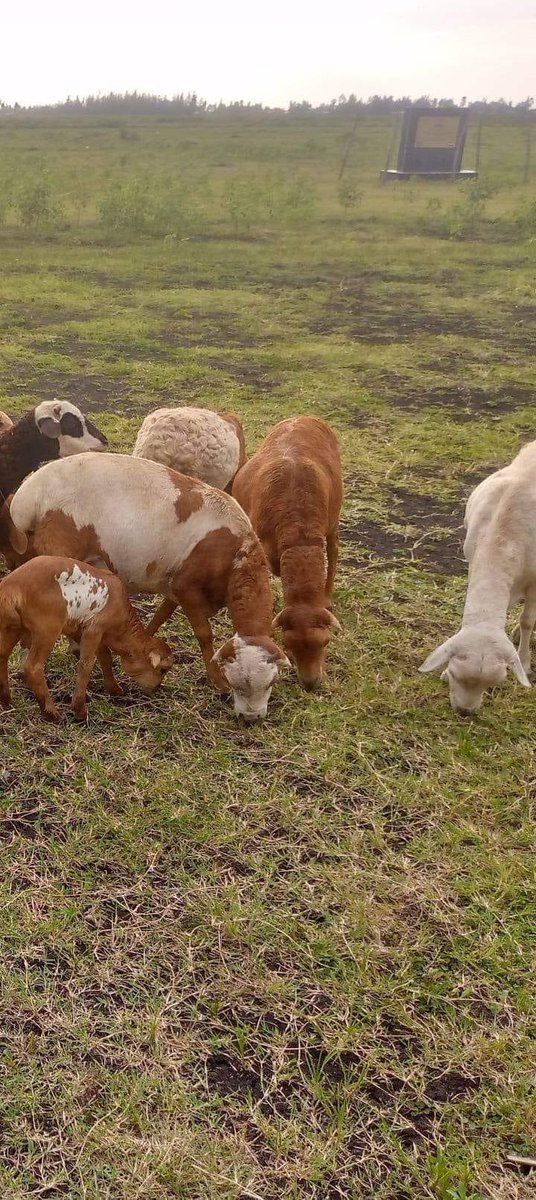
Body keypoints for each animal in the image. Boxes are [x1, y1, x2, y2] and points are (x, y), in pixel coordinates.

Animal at [0, 556, 174, 723]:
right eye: (162, 669)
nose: (156, 689)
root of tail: (11, 587)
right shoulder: (94, 629)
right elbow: (86, 665)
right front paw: (79, 710)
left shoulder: (80, 629)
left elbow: (105, 657)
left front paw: (114, 689)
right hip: (47, 629)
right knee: (33, 667)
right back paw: (51, 713)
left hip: (10, 627)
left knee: (3, 656)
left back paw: (7, 702)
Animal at [232, 416, 343, 689]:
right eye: (288, 645)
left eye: (326, 642)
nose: (311, 684)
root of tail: (304, 417)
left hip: (334, 519)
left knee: (334, 550)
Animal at [419, 440, 536, 714]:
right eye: (454, 674)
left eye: (495, 683)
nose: (465, 713)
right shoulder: (473, 556)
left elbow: (528, 620)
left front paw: (525, 663)